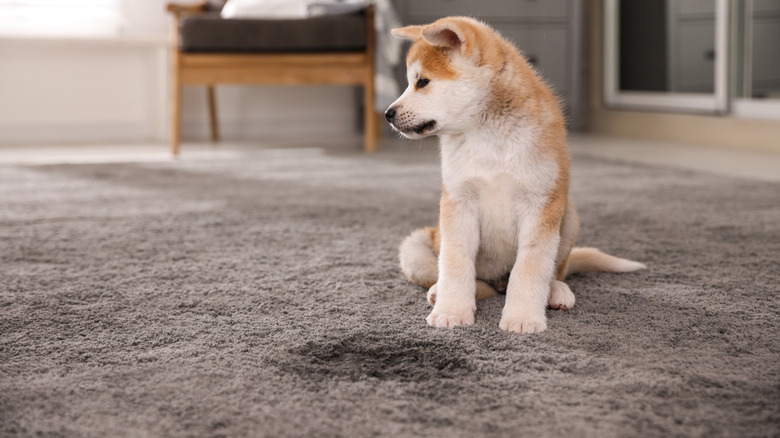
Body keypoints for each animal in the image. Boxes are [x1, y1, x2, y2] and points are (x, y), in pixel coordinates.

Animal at [386, 16, 644, 332]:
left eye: (422, 81)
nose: (388, 114)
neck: (488, 137)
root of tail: (498, 281)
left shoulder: (540, 203)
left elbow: (530, 267)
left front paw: (522, 318)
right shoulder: (459, 202)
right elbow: (456, 263)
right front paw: (451, 312)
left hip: (568, 215)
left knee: (554, 271)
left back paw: (556, 291)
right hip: (416, 249)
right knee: (472, 281)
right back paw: (440, 292)